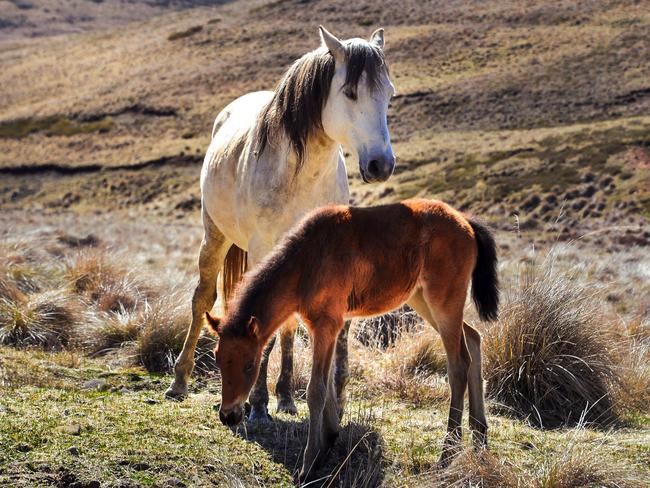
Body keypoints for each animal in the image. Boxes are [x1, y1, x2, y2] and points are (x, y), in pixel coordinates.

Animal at [165, 26, 394, 422]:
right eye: (350, 92)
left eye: (389, 94)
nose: (382, 164)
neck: (300, 174)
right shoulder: (261, 251)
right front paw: (257, 404)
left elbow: (287, 324)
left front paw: (278, 398)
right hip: (215, 235)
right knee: (202, 299)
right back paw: (180, 381)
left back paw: (285, 396)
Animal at [205, 198, 498, 480]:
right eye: (217, 360)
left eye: (249, 365)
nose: (229, 415)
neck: (307, 261)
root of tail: (466, 222)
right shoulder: (321, 327)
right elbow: (327, 385)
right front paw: (328, 441)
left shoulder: (327, 325)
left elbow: (316, 390)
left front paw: (309, 464)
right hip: (423, 299)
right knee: (473, 338)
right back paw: (480, 434)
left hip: (443, 301)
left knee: (458, 363)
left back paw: (448, 451)